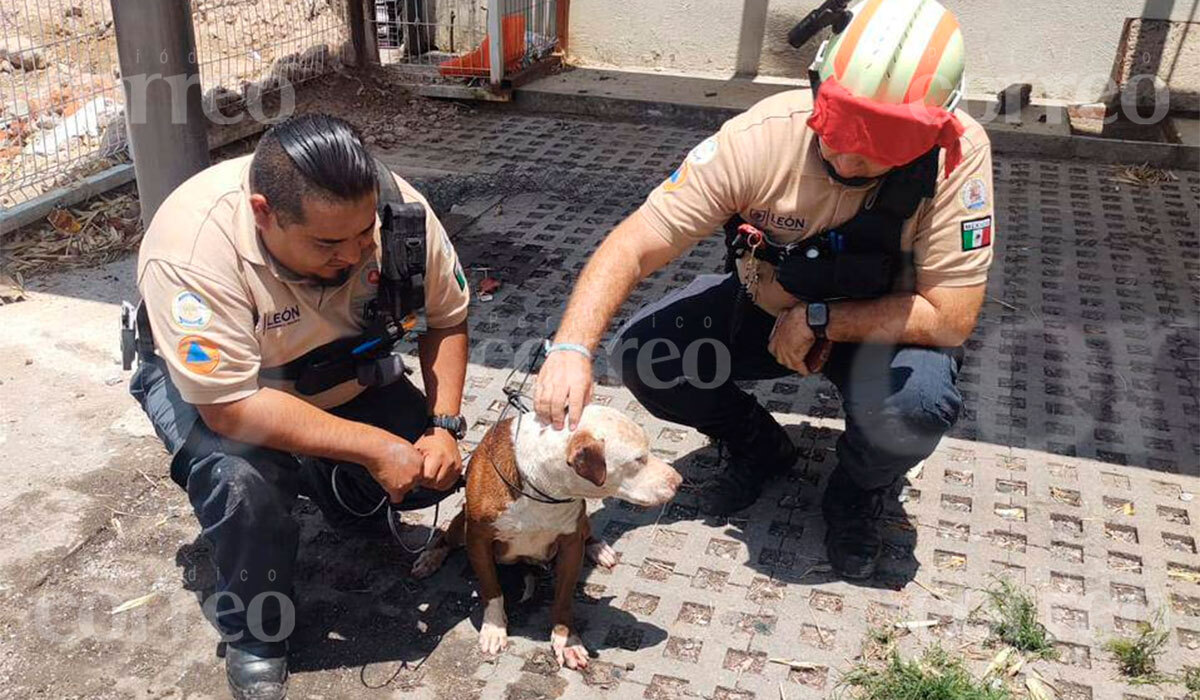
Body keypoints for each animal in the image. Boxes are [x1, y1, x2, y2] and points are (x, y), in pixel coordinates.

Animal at [412, 408, 681, 672]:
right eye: (638, 459)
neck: (545, 485)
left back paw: (598, 548)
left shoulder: (571, 545)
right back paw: (430, 557)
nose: (678, 481)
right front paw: (494, 628)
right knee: (447, 537)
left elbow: (563, 599)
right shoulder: (478, 540)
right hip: (462, 523)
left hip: (581, 523)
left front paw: (567, 641)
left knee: (587, 532)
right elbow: (491, 587)